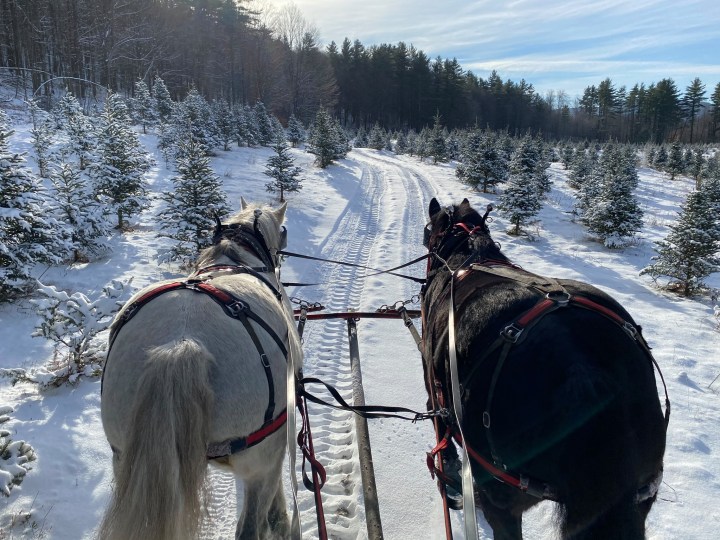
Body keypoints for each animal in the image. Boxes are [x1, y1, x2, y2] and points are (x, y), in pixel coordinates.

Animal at [98, 200, 300, 536]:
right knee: (250, 526)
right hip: (258, 458)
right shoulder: (273, 449)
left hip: (127, 456)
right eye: (282, 234)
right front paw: (280, 520)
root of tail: (180, 345)